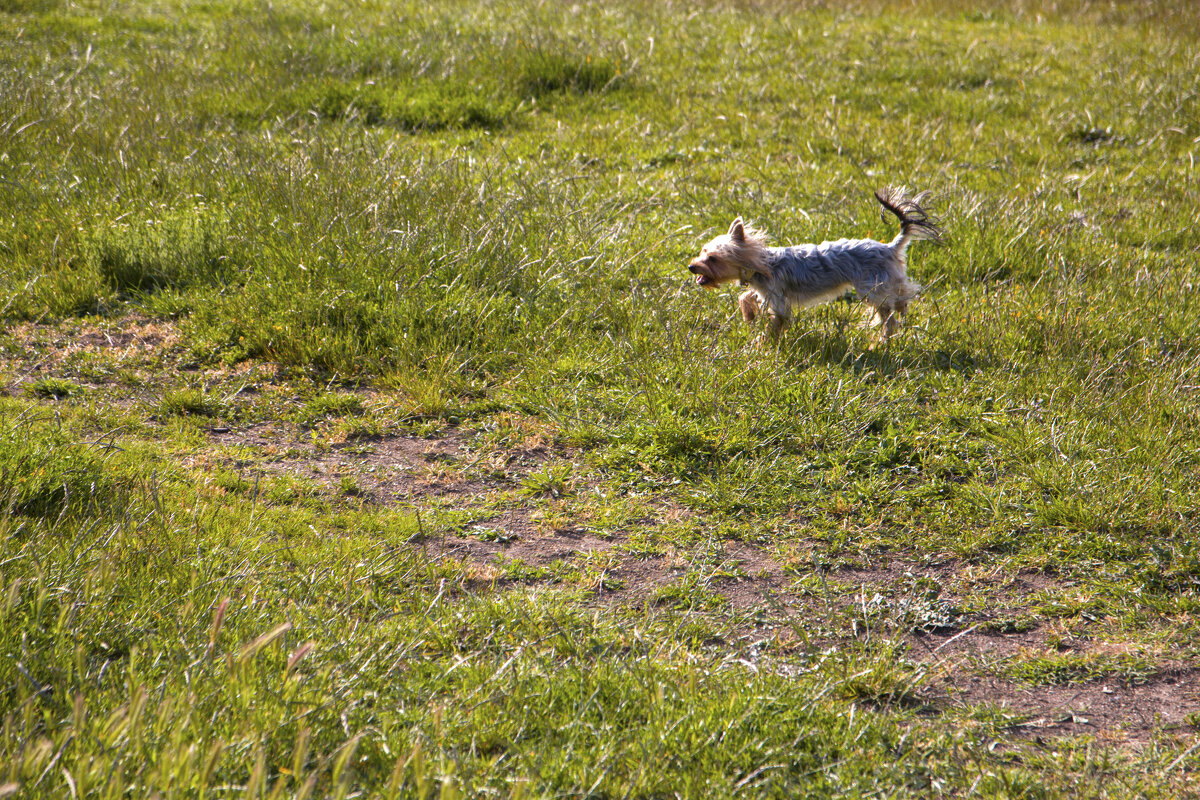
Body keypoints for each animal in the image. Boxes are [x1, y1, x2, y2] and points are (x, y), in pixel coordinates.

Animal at [691, 189, 940, 343]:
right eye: (703, 251)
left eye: (713, 259)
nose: (691, 267)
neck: (760, 264)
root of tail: (889, 247)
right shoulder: (764, 289)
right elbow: (746, 296)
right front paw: (748, 314)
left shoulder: (777, 297)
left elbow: (777, 320)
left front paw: (764, 343)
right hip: (882, 282)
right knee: (895, 301)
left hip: (870, 286)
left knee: (892, 307)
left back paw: (885, 335)